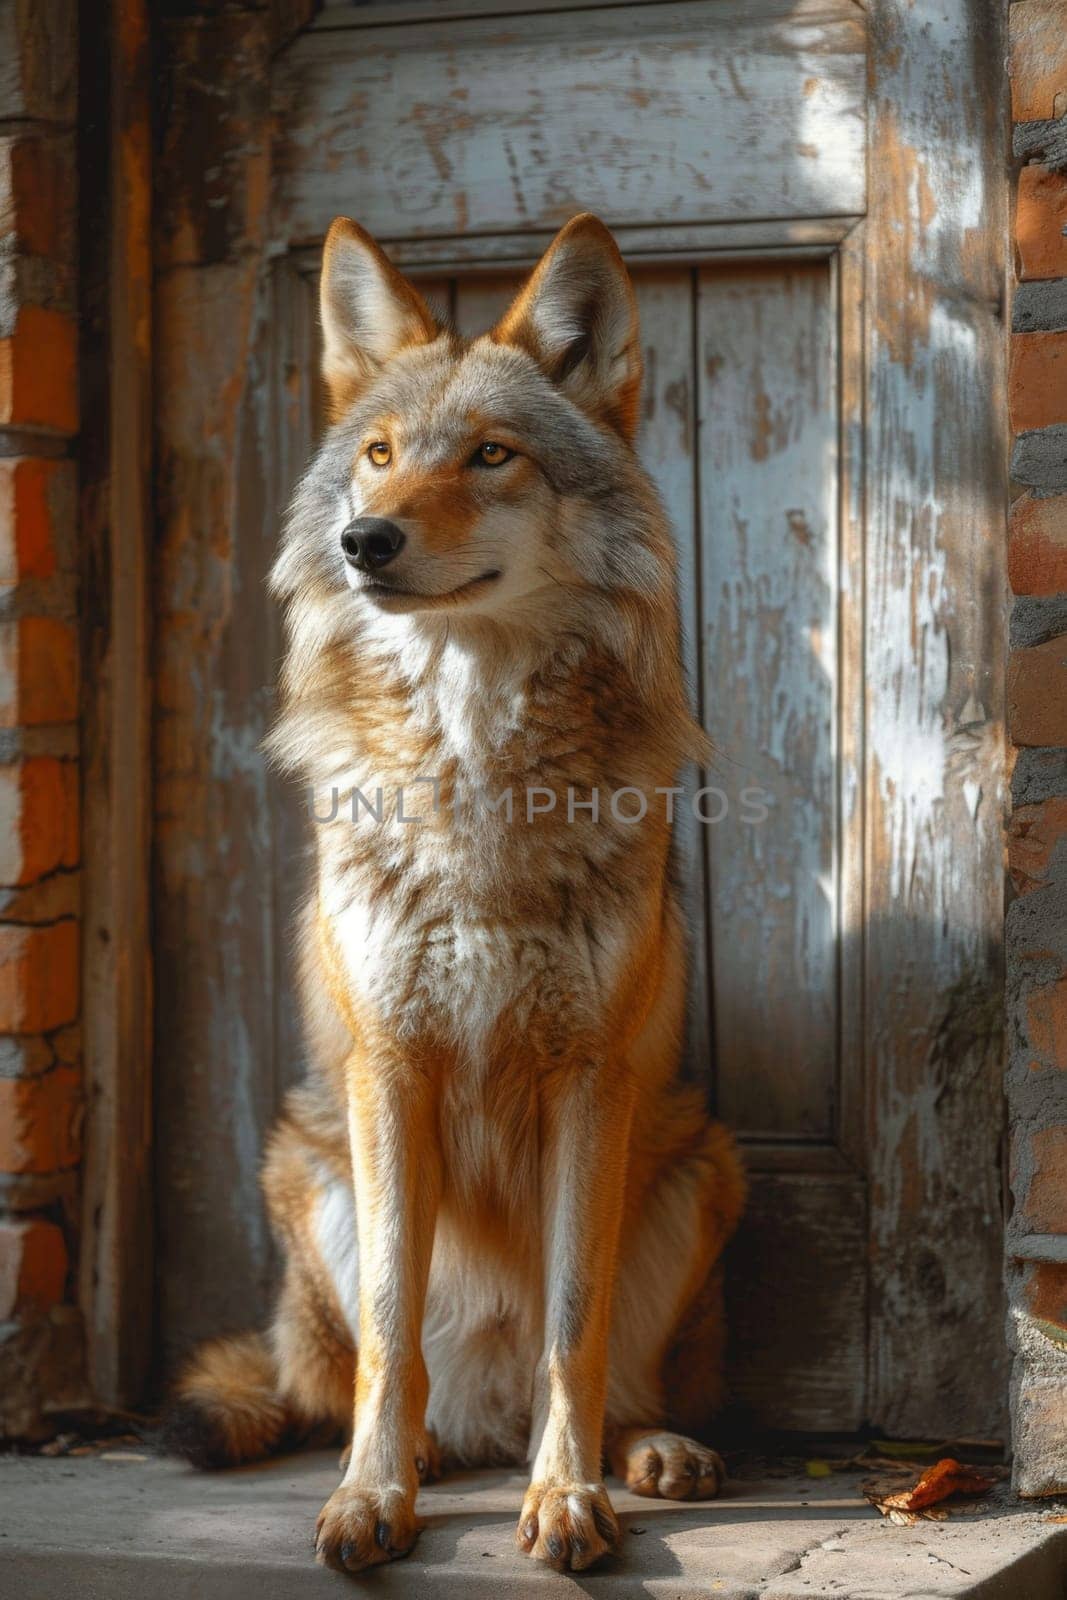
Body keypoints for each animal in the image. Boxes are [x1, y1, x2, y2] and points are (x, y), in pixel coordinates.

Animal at [168, 212, 751, 1574]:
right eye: (379, 457)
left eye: (490, 454)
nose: (364, 539)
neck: (471, 765)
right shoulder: (393, 1068)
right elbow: (392, 1326)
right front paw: (370, 1496)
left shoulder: (591, 1077)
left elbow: (573, 1326)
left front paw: (567, 1496)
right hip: (310, 1160)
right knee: (360, 1374)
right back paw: (424, 1454)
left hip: (698, 1160)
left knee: (614, 1376)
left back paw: (644, 1452)